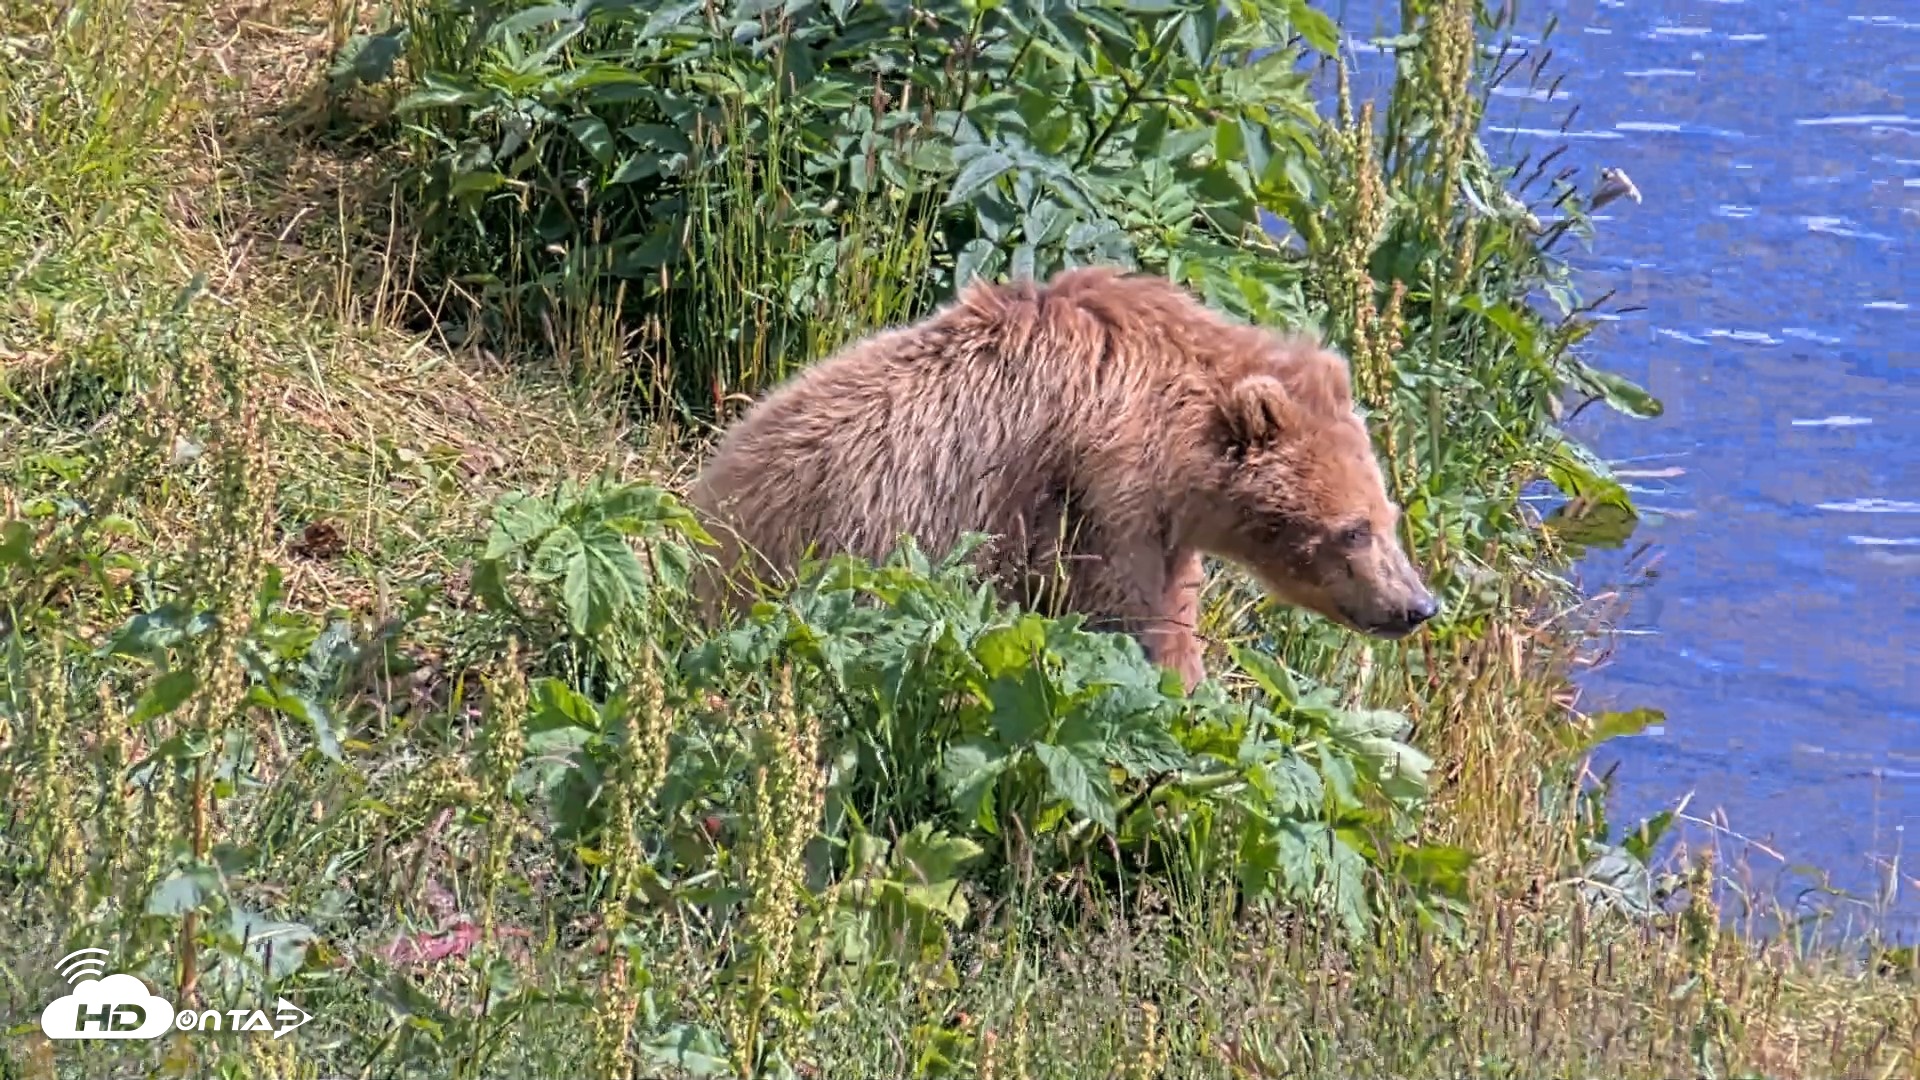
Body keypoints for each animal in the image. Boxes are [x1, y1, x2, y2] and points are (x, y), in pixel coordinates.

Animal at [685, 265, 1439, 690]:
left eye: (1389, 518)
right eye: (1352, 531)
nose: (1418, 605)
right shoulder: (1100, 493)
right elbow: (1132, 612)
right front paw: (1189, 687)